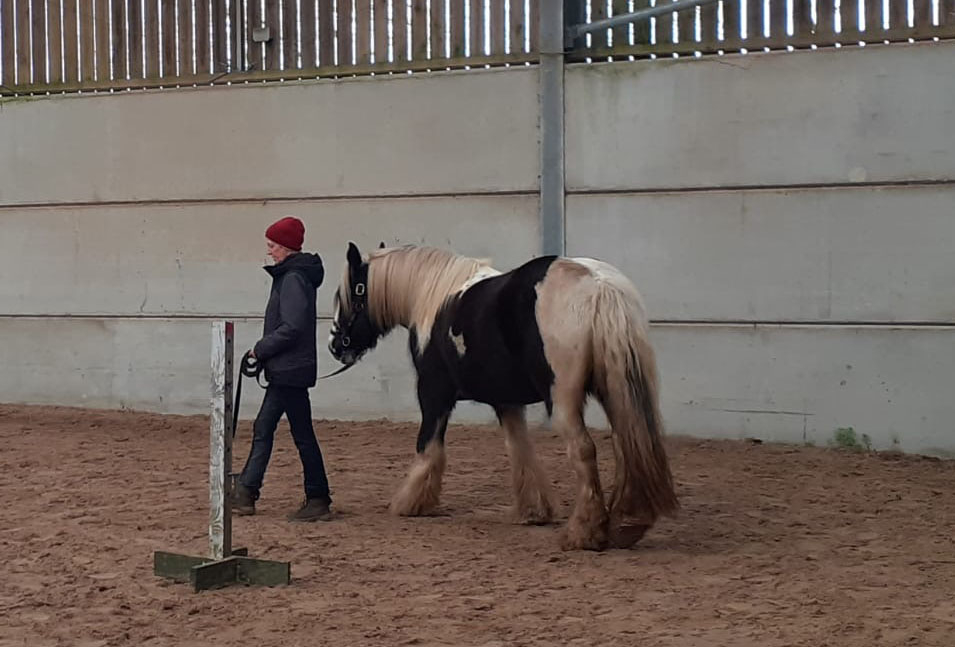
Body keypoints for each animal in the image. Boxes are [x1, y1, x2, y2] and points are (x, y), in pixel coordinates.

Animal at [328, 242, 678, 551]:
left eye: (349, 294)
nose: (335, 346)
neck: (434, 299)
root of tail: (597, 285)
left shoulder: (434, 395)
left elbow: (429, 447)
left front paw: (410, 502)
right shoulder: (506, 402)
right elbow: (519, 449)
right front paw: (534, 511)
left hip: (563, 400)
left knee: (583, 450)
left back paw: (584, 533)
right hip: (615, 390)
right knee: (628, 443)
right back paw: (629, 523)